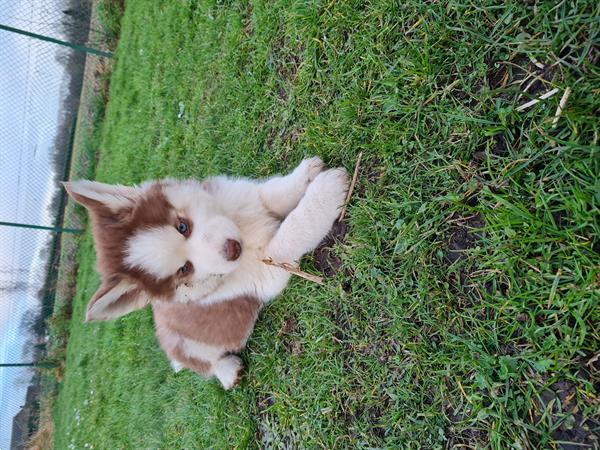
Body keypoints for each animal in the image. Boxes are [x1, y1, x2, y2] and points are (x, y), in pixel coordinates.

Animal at [63, 156, 350, 388]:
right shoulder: (268, 268)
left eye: (182, 226)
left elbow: (272, 193)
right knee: (205, 366)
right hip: (187, 348)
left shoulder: (245, 196)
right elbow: (291, 232)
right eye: (184, 269)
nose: (233, 249)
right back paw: (228, 372)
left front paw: (307, 174)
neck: (243, 228)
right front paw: (328, 191)